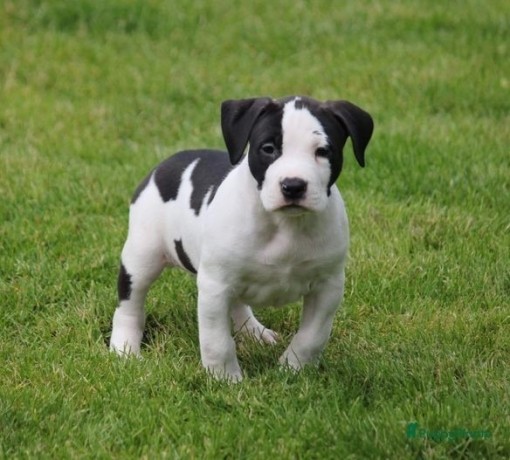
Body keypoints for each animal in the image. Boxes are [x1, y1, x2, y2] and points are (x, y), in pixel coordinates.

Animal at [109, 97, 372, 380]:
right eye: (268, 148)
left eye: (323, 151)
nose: (293, 186)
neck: (285, 224)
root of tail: (166, 163)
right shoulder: (214, 285)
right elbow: (217, 340)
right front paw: (225, 379)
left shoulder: (328, 286)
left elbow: (312, 336)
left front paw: (292, 369)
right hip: (142, 256)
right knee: (130, 304)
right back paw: (124, 348)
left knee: (237, 305)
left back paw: (254, 332)